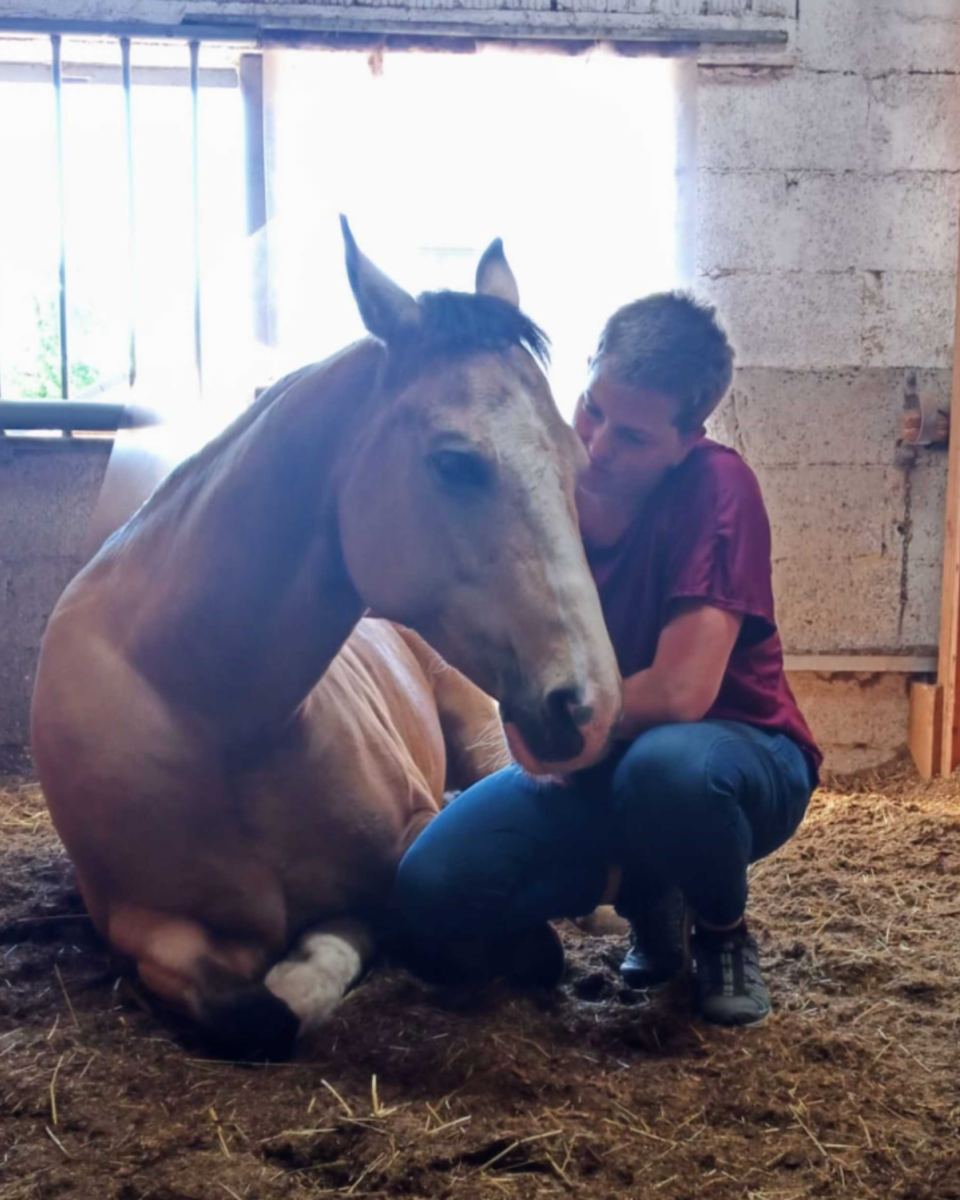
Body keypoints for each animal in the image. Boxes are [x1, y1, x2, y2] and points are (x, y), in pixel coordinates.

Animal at [30, 222, 621, 1059]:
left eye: (574, 463)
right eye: (454, 462)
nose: (590, 704)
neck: (214, 715)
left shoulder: (417, 833)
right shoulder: (141, 924)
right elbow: (258, 1013)